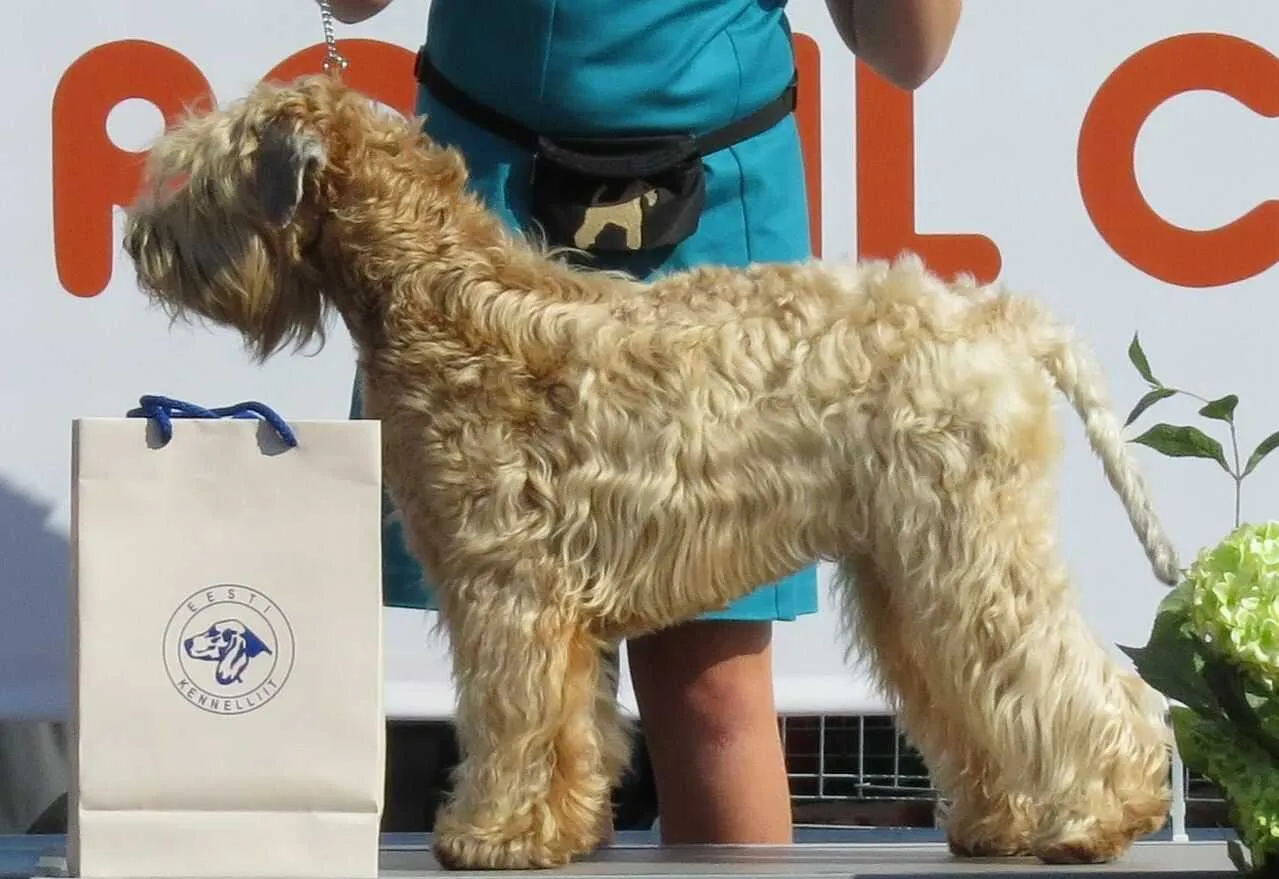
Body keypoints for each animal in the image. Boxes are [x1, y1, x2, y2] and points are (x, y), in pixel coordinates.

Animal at [122, 77, 1176, 875]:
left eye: (203, 173)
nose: (138, 242)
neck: (443, 293)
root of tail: (999, 318)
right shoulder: (550, 598)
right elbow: (571, 725)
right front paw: (558, 828)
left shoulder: (503, 585)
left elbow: (507, 718)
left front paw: (488, 833)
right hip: (910, 566)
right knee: (975, 690)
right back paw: (1003, 822)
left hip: (967, 545)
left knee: (1079, 680)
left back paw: (1097, 817)